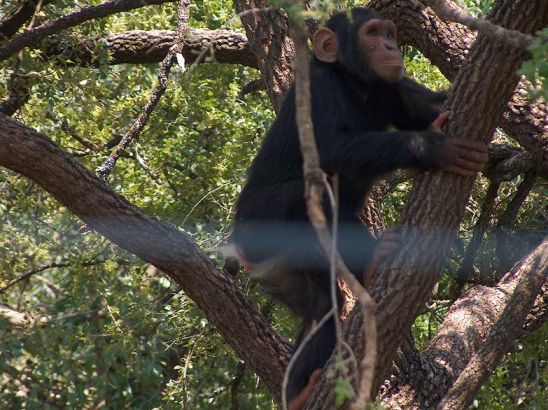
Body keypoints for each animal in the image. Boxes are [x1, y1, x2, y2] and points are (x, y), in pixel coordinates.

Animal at [229, 6, 486, 404]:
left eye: (389, 33)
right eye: (372, 33)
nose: (390, 46)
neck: (353, 84)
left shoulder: (393, 87)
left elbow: (435, 105)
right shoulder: (319, 87)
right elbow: (328, 148)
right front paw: (429, 146)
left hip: (281, 269)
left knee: (323, 307)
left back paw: (298, 390)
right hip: (260, 222)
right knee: (313, 194)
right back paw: (372, 261)